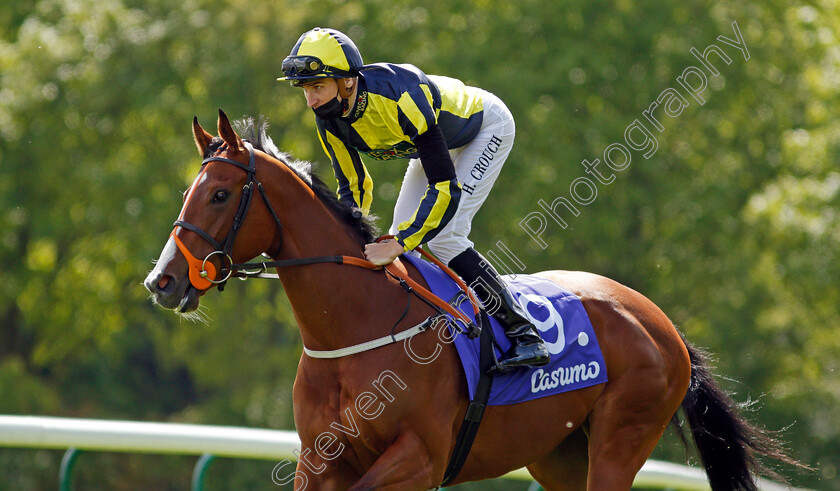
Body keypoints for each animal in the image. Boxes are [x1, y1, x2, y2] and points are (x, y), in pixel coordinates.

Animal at [144, 111, 800, 491]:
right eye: (189, 191)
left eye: (221, 194)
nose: (163, 281)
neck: (358, 330)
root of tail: (660, 322)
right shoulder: (320, 458)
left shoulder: (420, 459)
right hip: (561, 455)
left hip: (622, 439)